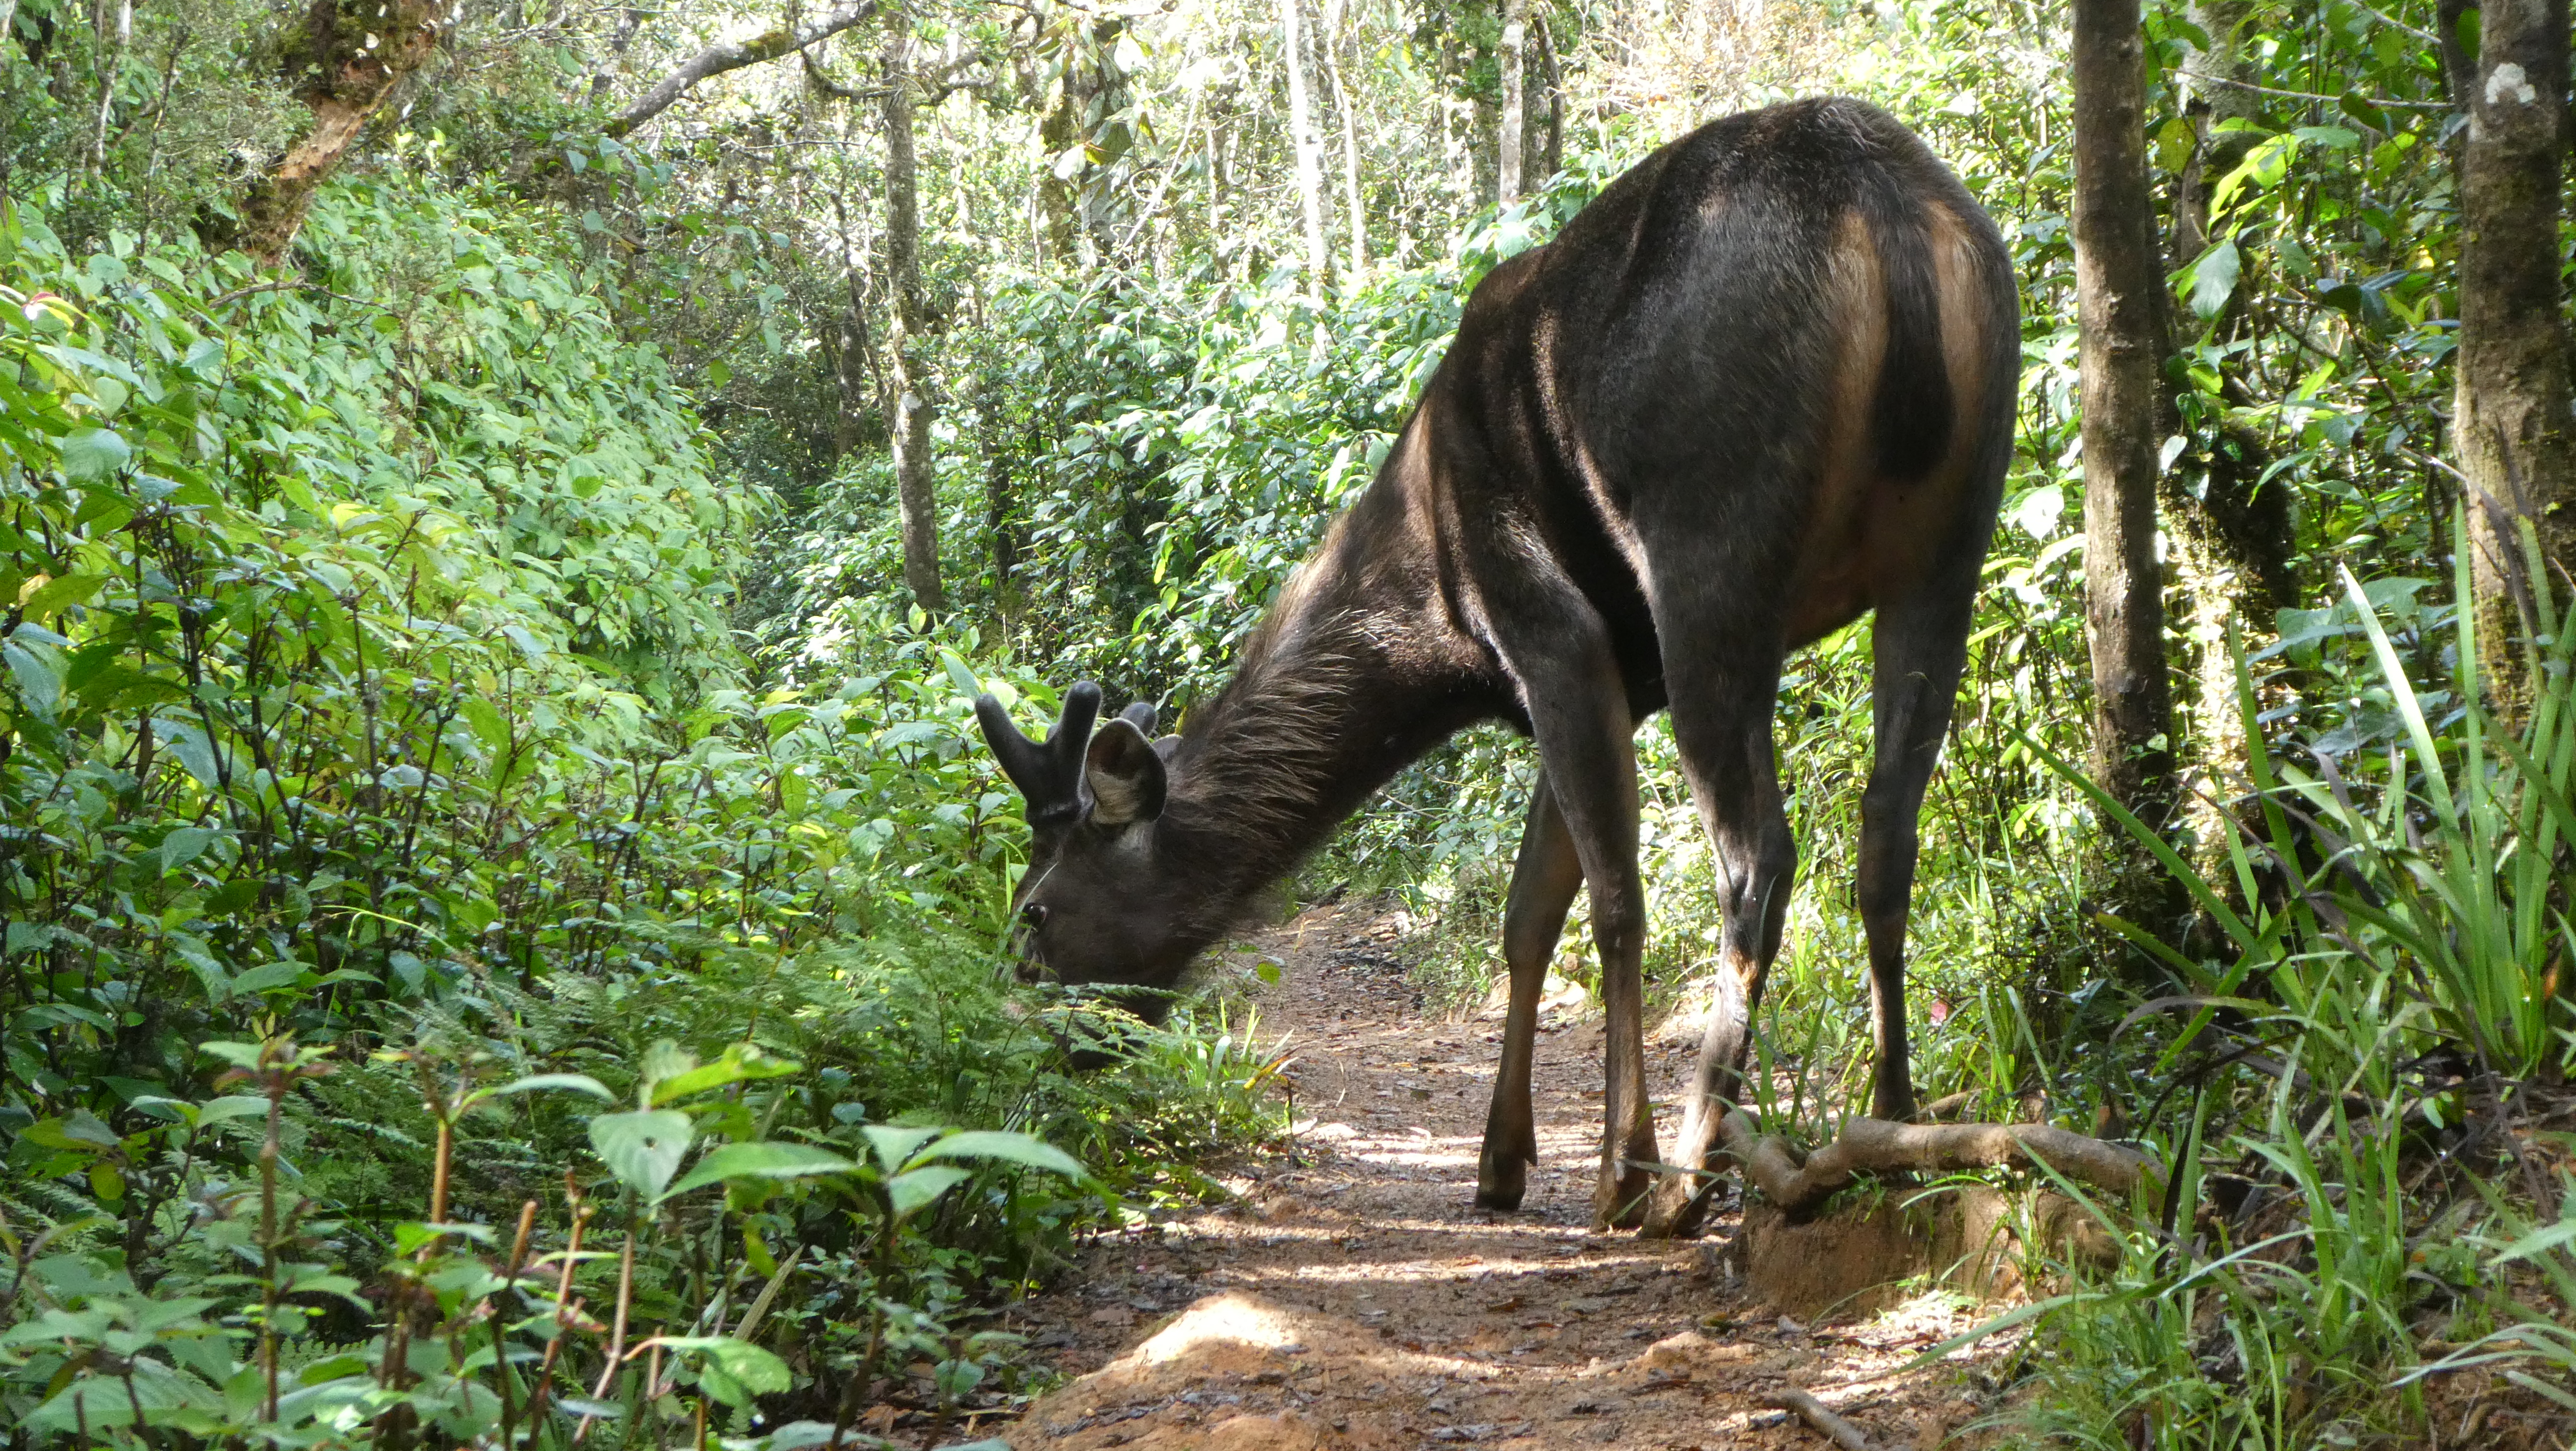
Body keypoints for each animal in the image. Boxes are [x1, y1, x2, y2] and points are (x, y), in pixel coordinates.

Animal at [974, 96, 2019, 1236]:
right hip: (1952, 538)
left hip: (1712, 550)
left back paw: (1692, 1173)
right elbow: (1528, 917)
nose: (1033, 1050)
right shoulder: (1606, 678)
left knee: (1759, 861)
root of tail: (1892, 222)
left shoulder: (1548, 629)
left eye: (1034, 910)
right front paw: (1499, 1160)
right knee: (1887, 836)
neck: (1434, 631)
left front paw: (1616, 1168)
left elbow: (1611, 902)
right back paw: (1895, 1120)